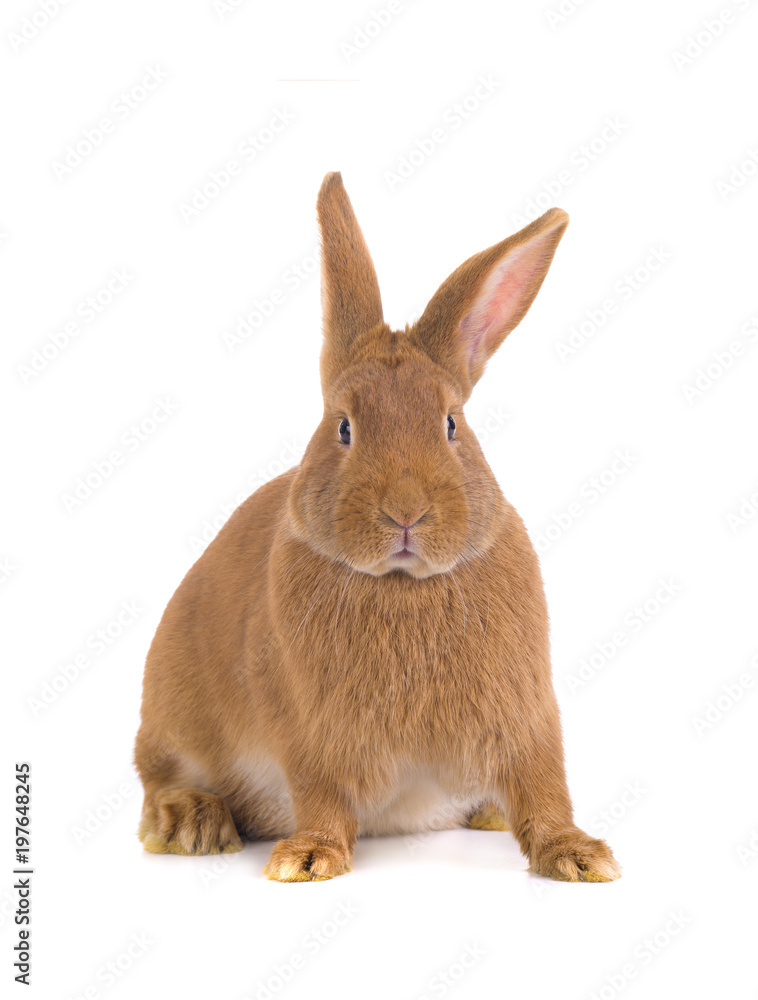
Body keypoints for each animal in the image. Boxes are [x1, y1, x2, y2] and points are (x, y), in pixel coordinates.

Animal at [134, 171, 621, 883]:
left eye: (451, 424)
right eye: (343, 427)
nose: (406, 512)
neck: (402, 584)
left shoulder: (527, 717)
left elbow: (544, 787)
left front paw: (581, 858)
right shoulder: (310, 735)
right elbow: (322, 796)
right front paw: (308, 860)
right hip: (171, 710)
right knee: (158, 777)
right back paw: (192, 823)